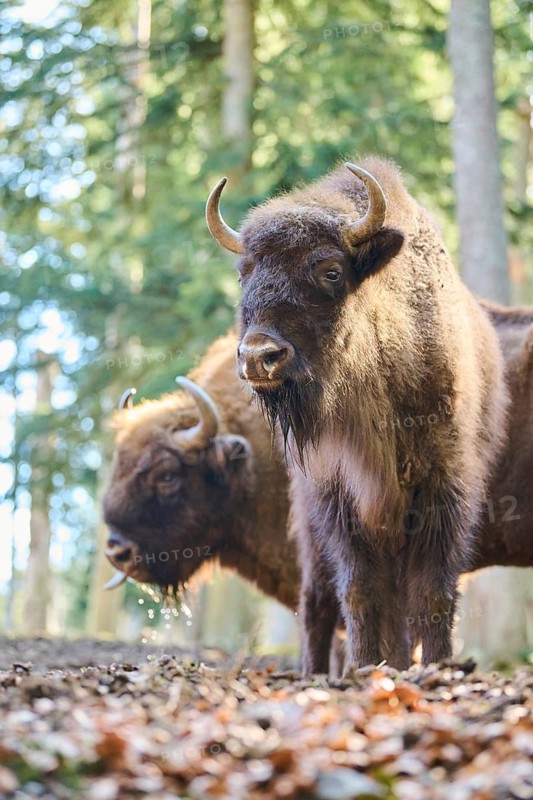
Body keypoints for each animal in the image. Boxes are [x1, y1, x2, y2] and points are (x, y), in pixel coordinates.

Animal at [206, 157, 510, 671]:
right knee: (317, 601)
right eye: (245, 272)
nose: (259, 357)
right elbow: (361, 590)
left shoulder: (442, 487)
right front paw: (366, 666)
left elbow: (432, 591)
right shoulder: (338, 496)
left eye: (330, 271)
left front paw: (436, 665)